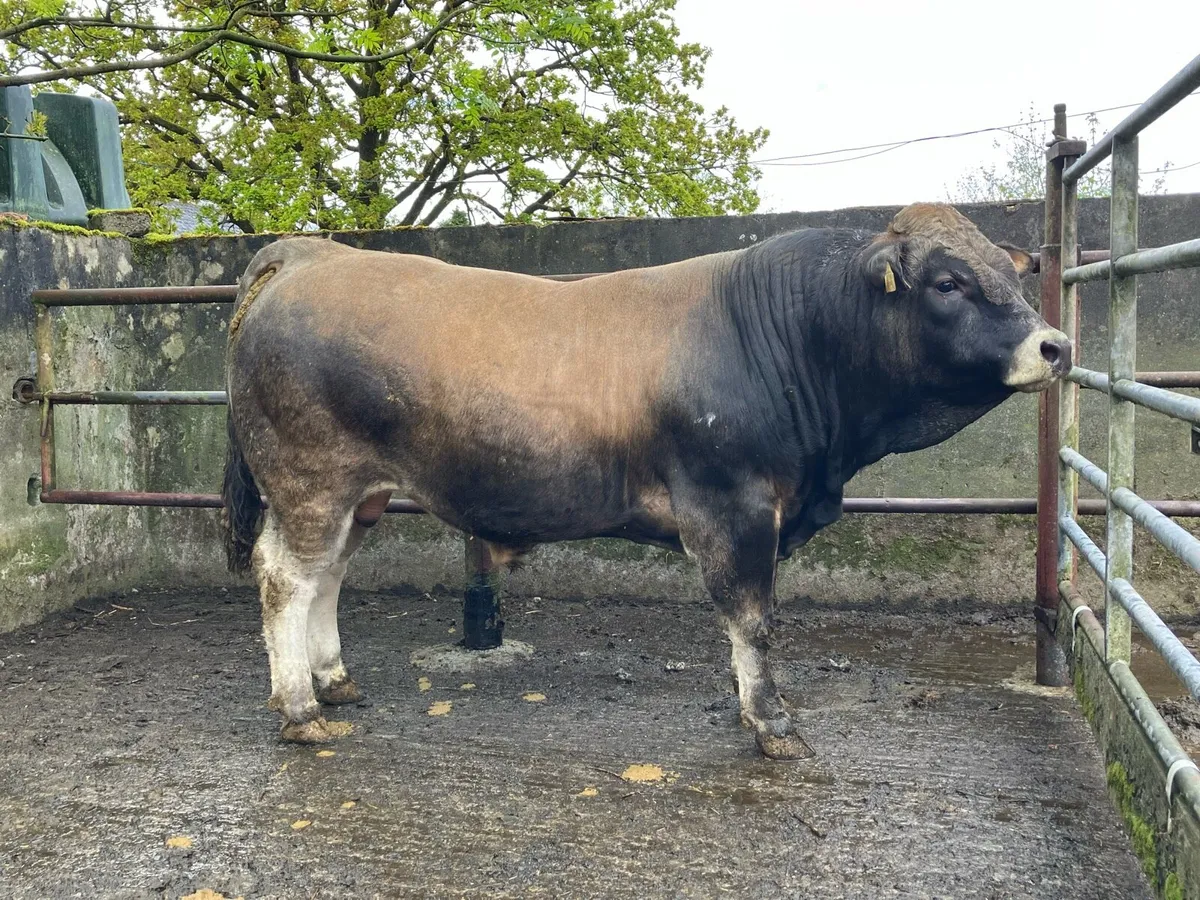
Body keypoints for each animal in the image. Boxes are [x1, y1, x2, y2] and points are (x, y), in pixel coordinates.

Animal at [221, 203, 1070, 760]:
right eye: (949, 283)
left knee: (327, 577)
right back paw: (299, 708)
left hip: (356, 495)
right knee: (285, 579)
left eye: (1008, 271)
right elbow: (753, 620)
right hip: (310, 478)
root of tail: (315, 254)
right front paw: (772, 724)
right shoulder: (733, 506)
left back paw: (335, 680)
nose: (1055, 345)